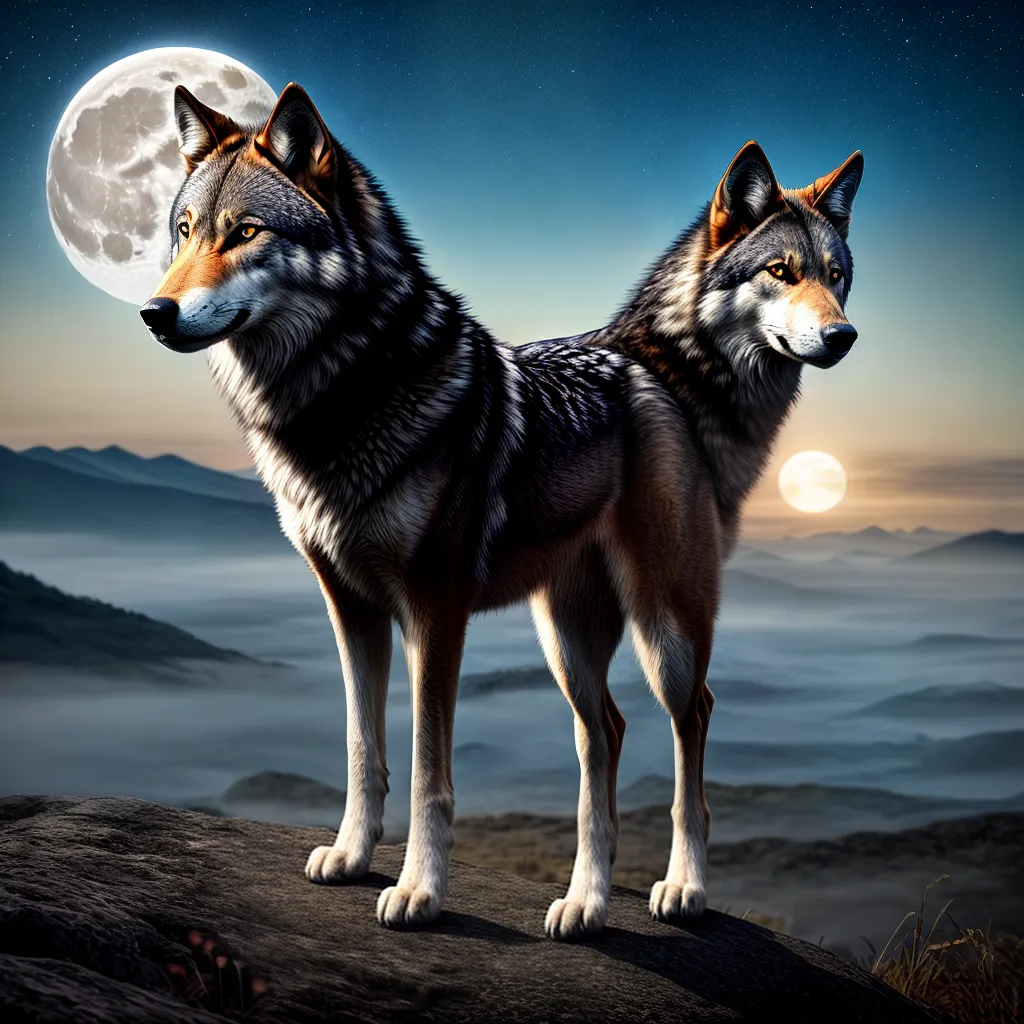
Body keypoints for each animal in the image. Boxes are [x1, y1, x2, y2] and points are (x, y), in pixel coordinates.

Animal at [140, 82, 862, 939]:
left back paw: (683, 888)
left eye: (246, 232)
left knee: (693, 725)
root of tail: (644, 362)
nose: (154, 313)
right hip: (567, 642)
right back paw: (584, 902)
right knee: (607, 733)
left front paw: (419, 892)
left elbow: (430, 772)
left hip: (666, 632)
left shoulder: (435, 610)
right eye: (185, 233)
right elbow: (362, 748)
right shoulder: (349, 605)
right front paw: (351, 857)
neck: (343, 395)